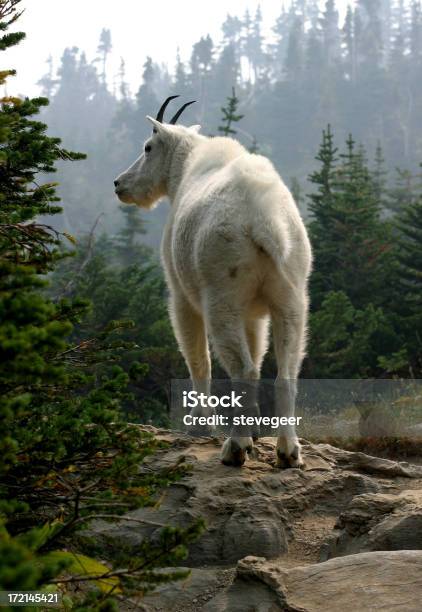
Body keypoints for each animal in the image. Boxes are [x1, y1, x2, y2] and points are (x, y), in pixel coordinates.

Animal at [113, 95, 312, 468]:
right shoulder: (254, 312)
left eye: (148, 147)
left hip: (222, 296)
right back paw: (288, 452)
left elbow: (198, 358)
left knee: (242, 369)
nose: (119, 185)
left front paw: (200, 424)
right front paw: (254, 431)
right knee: (285, 372)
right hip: (291, 294)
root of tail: (265, 221)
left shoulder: (180, 295)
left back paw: (234, 449)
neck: (187, 167)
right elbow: (258, 349)